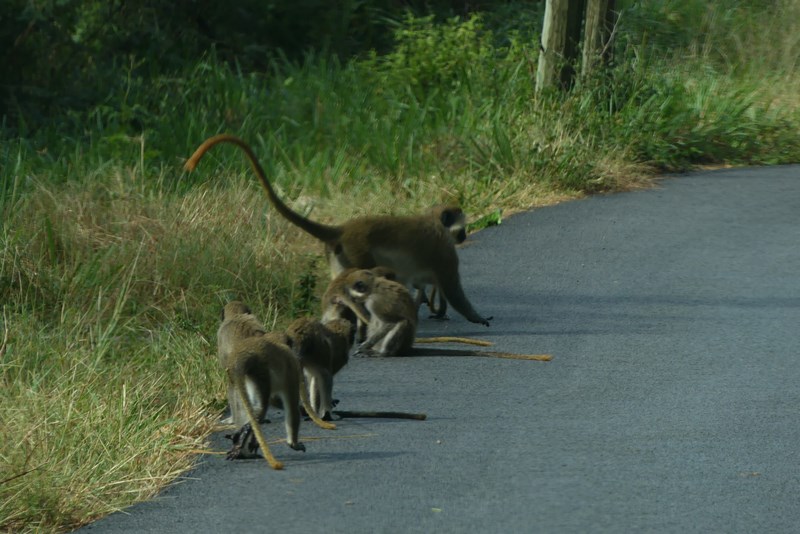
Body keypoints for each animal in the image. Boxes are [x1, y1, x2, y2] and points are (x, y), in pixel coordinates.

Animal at [184, 134, 490, 326]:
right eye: (462, 229)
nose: (464, 235)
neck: (434, 222)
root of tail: (343, 230)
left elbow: (427, 285)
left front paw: (431, 306)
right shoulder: (444, 251)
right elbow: (451, 286)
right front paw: (476, 317)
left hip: (339, 256)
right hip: (359, 252)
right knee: (367, 274)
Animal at [336, 272, 552, 364]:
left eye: (351, 288)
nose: (346, 295)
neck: (373, 286)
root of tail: (408, 347)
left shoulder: (377, 302)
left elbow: (390, 321)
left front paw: (365, 345)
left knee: (401, 324)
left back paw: (383, 353)